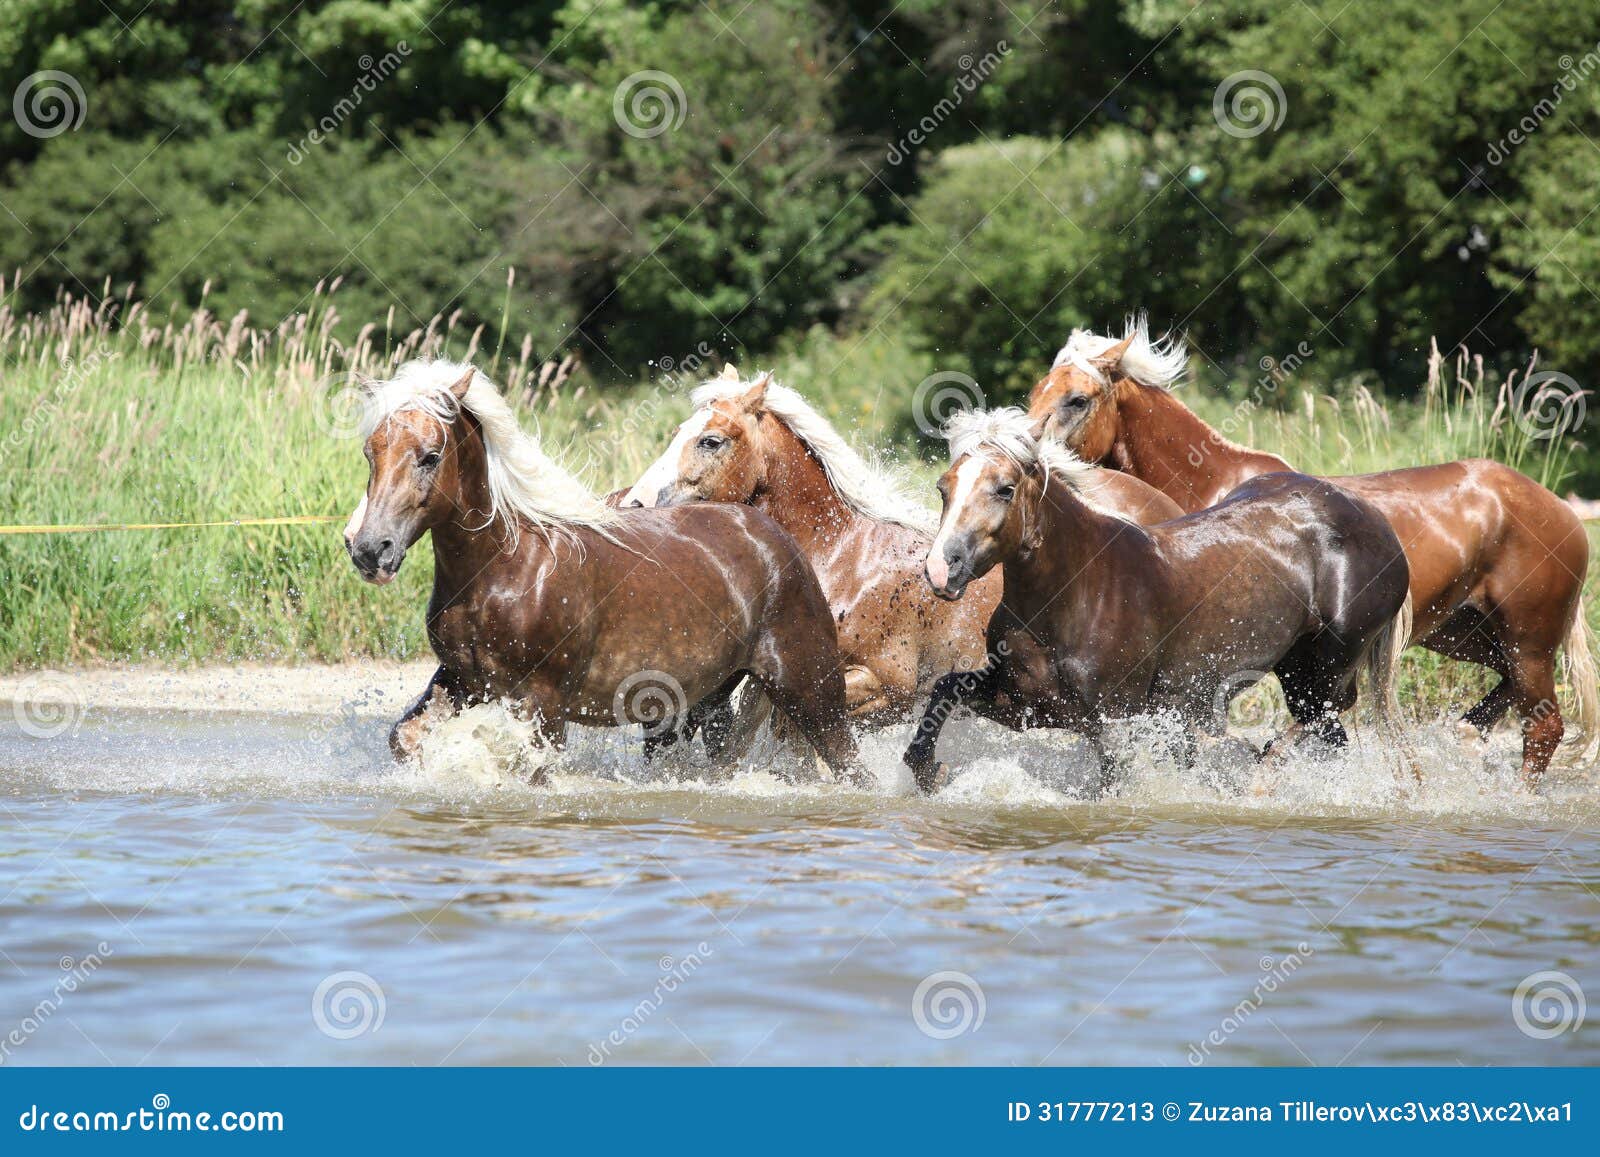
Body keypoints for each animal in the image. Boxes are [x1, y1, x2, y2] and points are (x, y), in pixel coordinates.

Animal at [340, 361, 864, 777]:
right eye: (370, 452)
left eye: (430, 456)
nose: (369, 549)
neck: (504, 569)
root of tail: (775, 535)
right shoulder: (461, 682)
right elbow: (405, 739)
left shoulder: (544, 704)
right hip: (698, 701)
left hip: (811, 689)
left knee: (849, 765)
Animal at [902, 408, 1414, 796]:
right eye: (944, 487)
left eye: (1005, 488)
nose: (941, 569)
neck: (1075, 593)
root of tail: (1377, 522)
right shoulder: (1025, 705)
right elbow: (945, 689)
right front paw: (927, 770)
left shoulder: (1113, 722)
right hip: (1296, 667)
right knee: (1330, 735)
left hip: (1327, 665)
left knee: (1321, 717)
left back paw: (1260, 771)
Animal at [1024, 316, 1600, 787]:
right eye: (1036, 391)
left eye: (1077, 399)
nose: (1027, 452)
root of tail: (1563, 510)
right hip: (1467, 633)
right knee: (1505, 699)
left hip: (1527, 637)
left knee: (1544, 725)